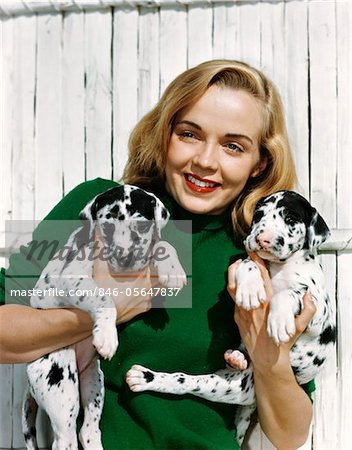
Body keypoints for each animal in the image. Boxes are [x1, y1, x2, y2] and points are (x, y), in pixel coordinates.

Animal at [22, 184, 187, 450]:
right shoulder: (73, 280)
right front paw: (107, 337)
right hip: (61, 387)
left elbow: (161, 246)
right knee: (66, 437)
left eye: (142, 226)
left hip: (94, 385)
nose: (125, 257)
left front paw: (172, 270)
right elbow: (104, 299)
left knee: (88, 430)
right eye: (107, 227)